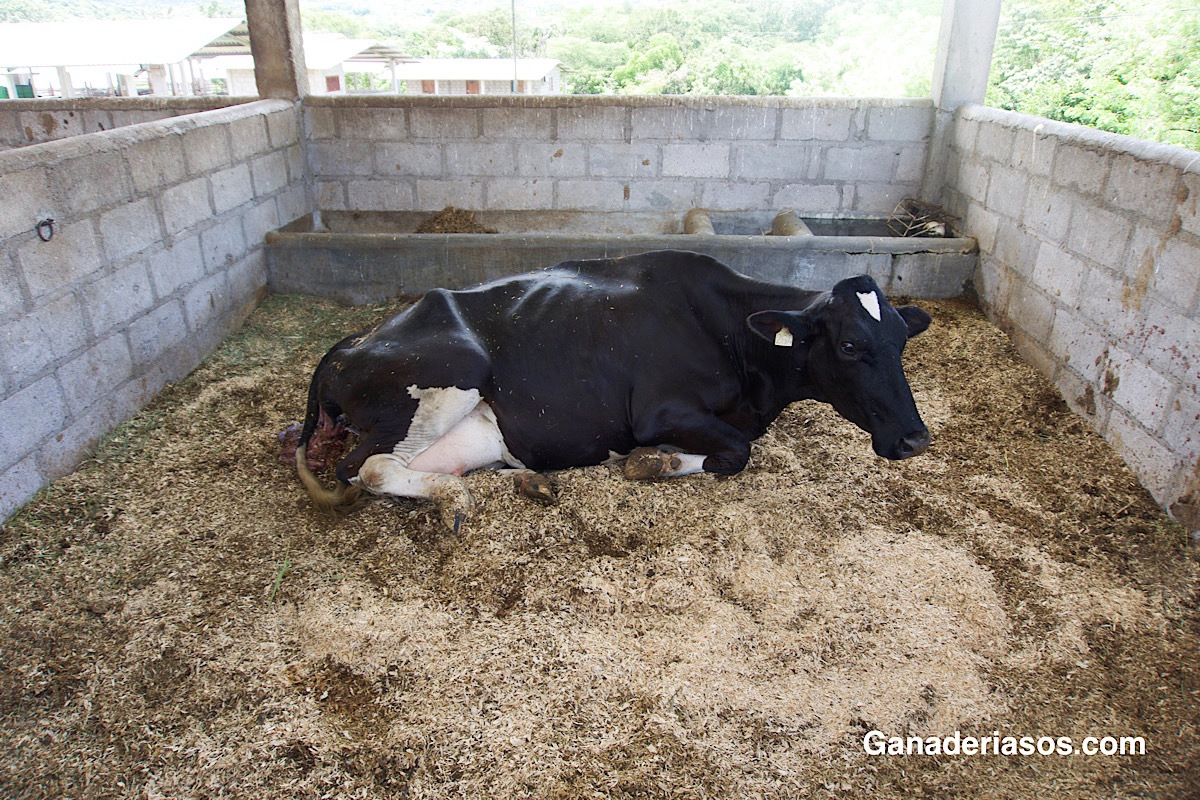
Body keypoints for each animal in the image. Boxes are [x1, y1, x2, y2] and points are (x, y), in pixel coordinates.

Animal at [295, 250, 932, 529]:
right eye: (849, 345)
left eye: (902, 339)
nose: (915, 439)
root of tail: (352, 342)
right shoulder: (658, 410)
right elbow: (738, 452)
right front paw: (651, 463)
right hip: (449, 376)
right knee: (366, 468)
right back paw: (455, 498)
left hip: (478, 431)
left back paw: (529, 481)